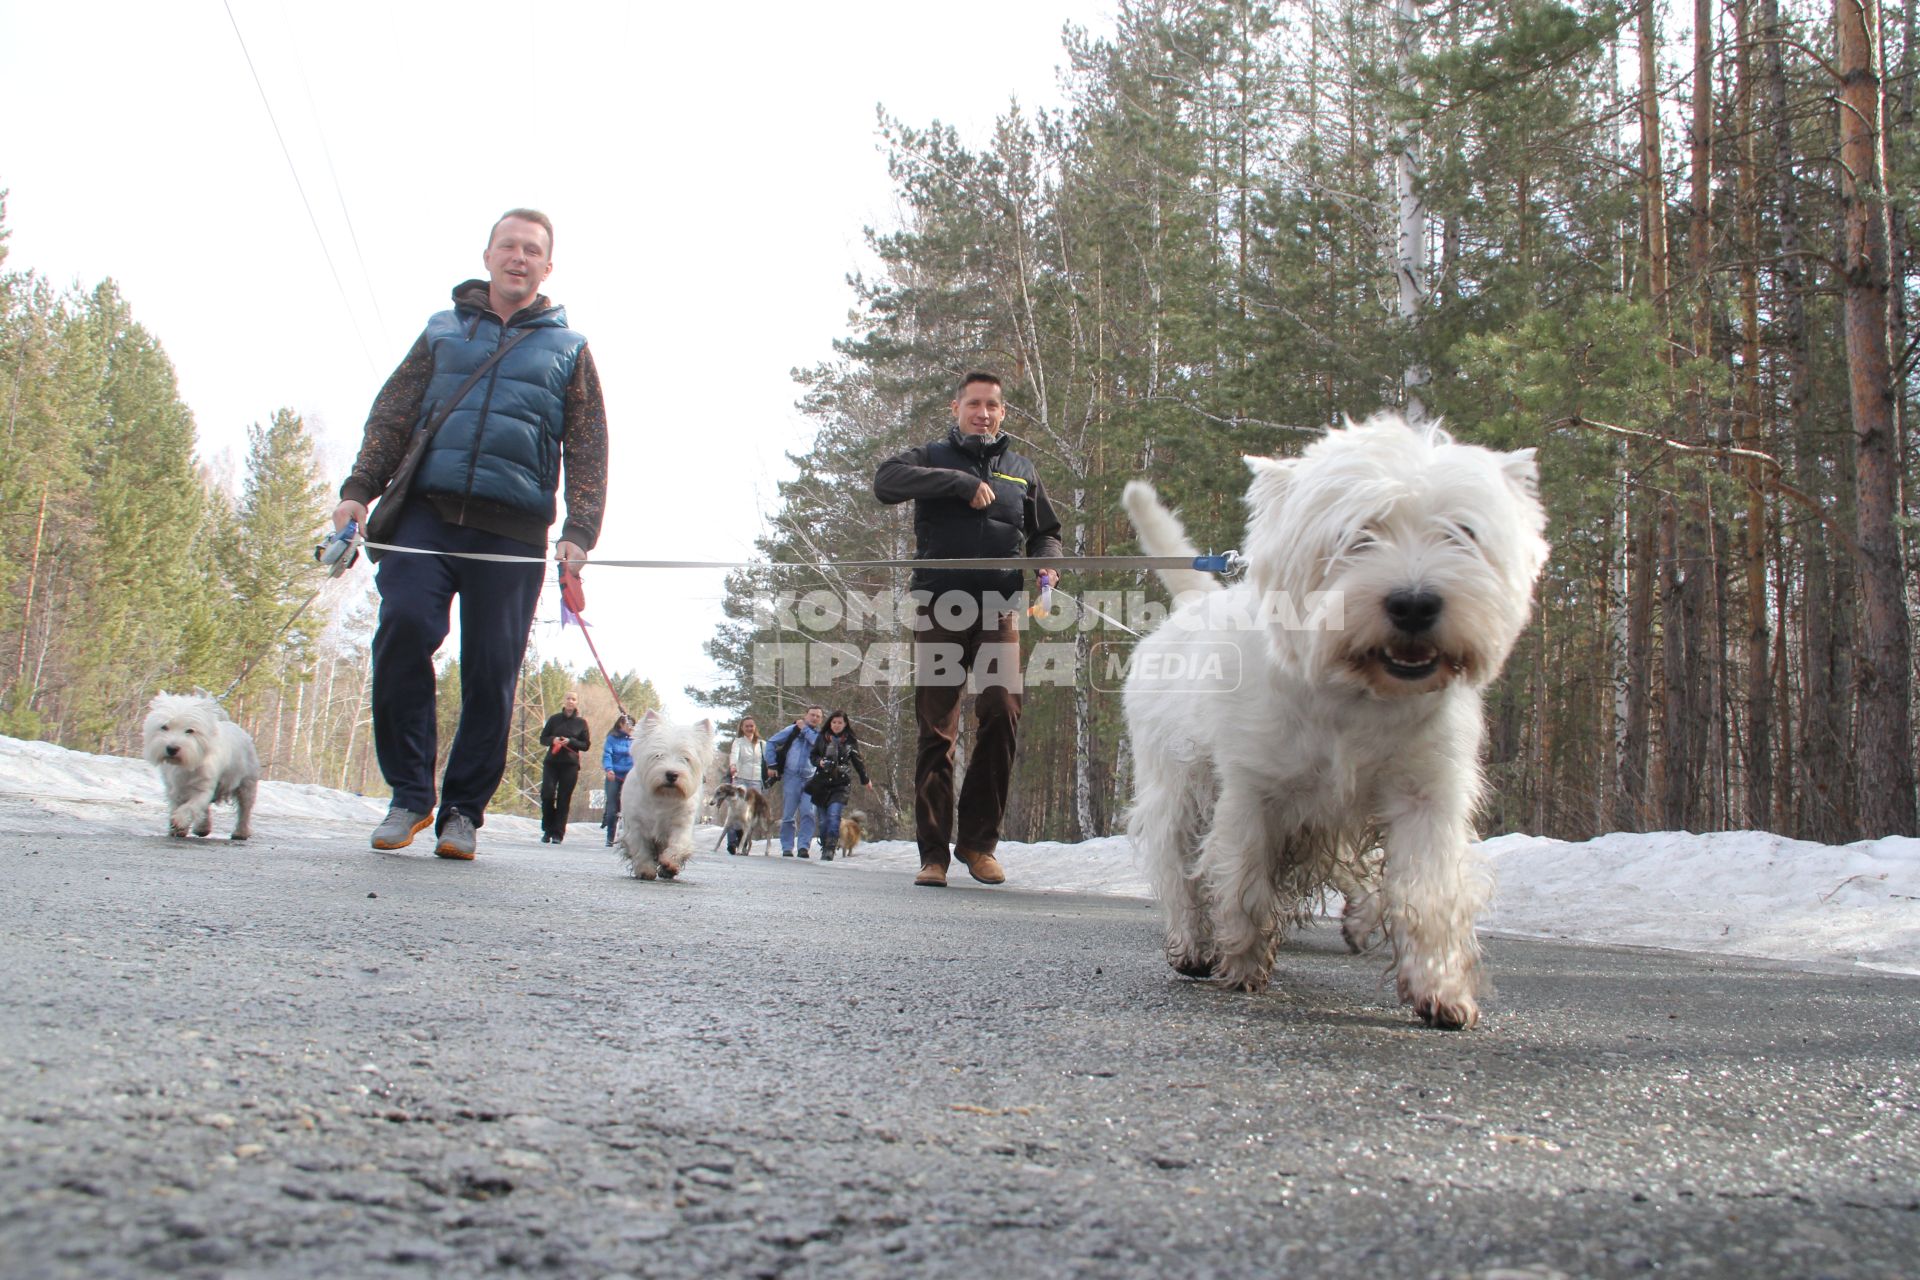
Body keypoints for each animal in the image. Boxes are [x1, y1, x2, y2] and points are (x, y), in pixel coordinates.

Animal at [142, 690, 261, 840]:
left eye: (190, 730)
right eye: (164, 727)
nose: (172, 748)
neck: (185, 764)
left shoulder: (204, 788)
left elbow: (191, 806)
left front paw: (179, 820)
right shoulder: (173, 788)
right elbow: (177, 805)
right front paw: (177, 829)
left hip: (246, 782)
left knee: (245, 808)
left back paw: (241, 832)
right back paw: (202, 828)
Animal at [622, 710, 721, 882]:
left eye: (686, 758)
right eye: (658, 755)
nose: (672, 774)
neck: (664, 796)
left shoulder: (681, 823)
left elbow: (678, 844)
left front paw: (669, 863)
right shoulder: (636, 825)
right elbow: (641, 849)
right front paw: (645, 870)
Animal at [1121, 420, 1543, 1028]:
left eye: (1462, 531)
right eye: (1355, 535)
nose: (1414, 604)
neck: (1360, 696)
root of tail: (1195, 606)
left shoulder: (1423, 794)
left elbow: (1426, 893)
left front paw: (1440, 992)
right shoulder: (1255, 789)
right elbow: (1242, 879)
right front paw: (1242, 964)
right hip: (1174, 783)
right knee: (1176, 862)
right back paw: (1194, 947)